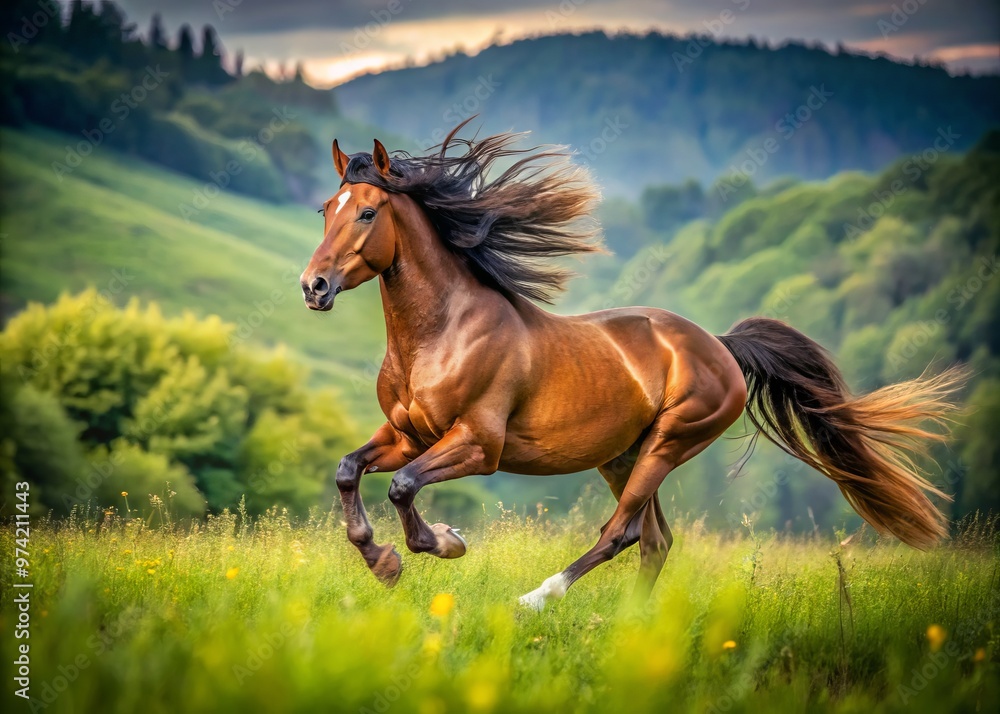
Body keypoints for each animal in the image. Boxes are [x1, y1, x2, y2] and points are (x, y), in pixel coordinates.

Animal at [300, 124, 963, 610]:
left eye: (367, 213)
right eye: (325, 208)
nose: (314, 287)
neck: (443, 333)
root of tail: (720, 345)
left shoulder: (478, 445)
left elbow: (404, 488)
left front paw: (444, 543)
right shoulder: (407, 435)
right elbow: (348, 471)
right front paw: (384, 561)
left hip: (670, 442)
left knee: (621, 533)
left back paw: (536, 600)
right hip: (623, 455)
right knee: (655, 539)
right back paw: (632, 625)